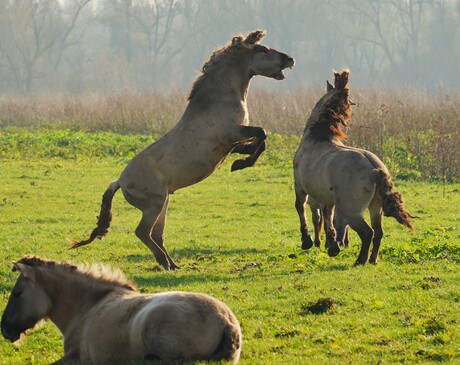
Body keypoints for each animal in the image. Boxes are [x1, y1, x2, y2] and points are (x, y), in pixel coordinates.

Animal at [72, 29, 294, 270]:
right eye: (263, 49)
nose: (290, 59)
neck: (219, 99)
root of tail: (119, 181)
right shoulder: (231, 133)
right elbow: (262, 133)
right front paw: (240, 161)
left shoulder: (236, 136)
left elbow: (262, 139)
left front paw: (241, 157)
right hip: (155, 204)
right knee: (143, 232)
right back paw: (165, 263)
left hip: (163, 204)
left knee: (156, 235)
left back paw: (173, 264)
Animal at [294, 69, 414, 264]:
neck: (316, 137)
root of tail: (374, 168)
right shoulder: (327, 199)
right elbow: (328, 217)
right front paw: (332, 245)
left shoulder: (300, 187)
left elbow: (301, 208)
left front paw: (307, 241)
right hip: (375, 208)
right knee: (378, 233)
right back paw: (372, 260)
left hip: (352, 211)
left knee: (367, 233)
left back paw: (360, 260)